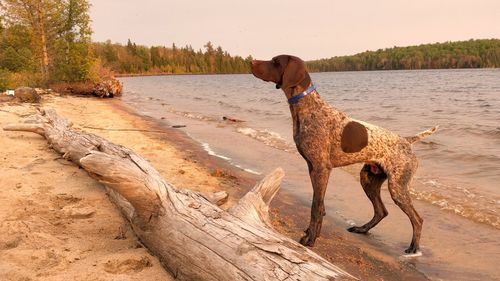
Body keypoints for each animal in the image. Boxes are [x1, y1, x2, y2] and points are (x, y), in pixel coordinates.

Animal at [252, 53, 436, 253]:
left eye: (276, 62)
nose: (251, 62)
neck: (309, 108)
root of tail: (407, 141)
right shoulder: (313, 168)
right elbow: (320, 205)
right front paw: (312, 232)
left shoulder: (321, 168)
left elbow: (316, 207)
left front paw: (310, 239)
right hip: (368, 180)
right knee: (381, 211)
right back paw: (362, 229)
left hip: (397, 187)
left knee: (417, 219)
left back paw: (414, 248)